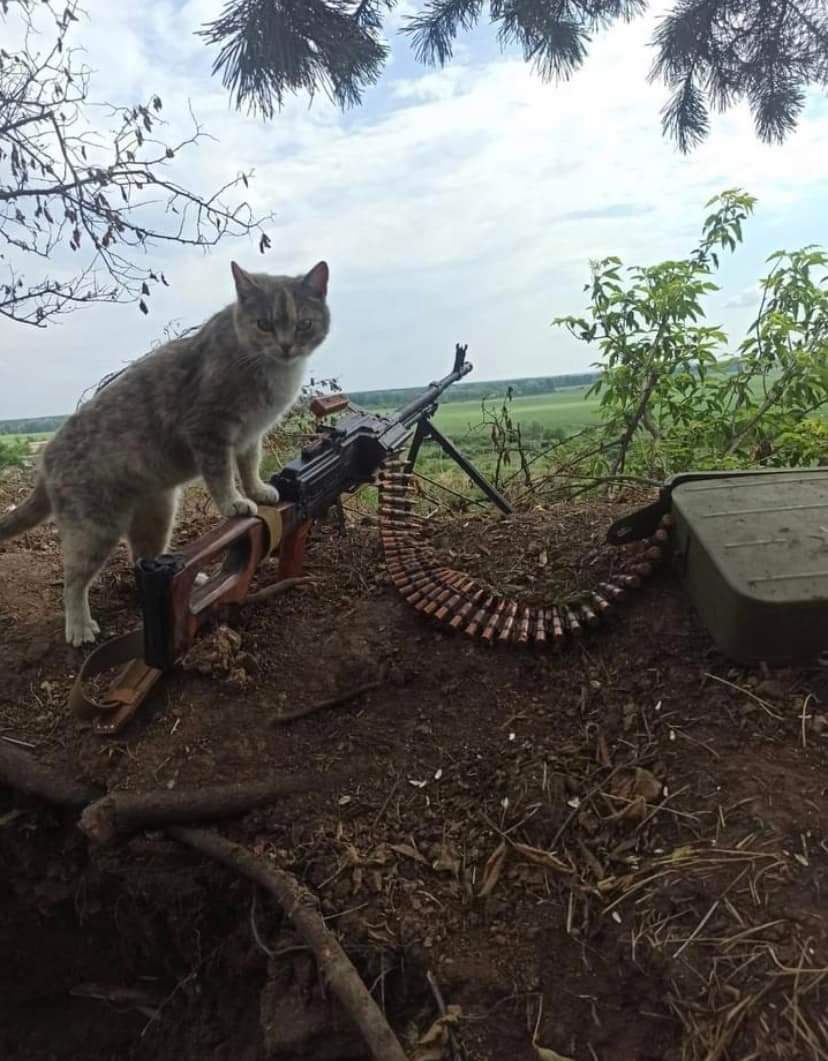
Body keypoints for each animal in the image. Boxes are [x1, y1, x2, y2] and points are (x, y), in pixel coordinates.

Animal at [0, 259, 331, 647]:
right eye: (264, 324)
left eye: (303, 323)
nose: (286, 345)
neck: (272, 371)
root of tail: (46, 459)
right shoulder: (209, 429)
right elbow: (221, 474)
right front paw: (234, 502)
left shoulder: (251, 435)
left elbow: (249, 465)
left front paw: (257, 490)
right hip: (93, 527)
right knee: (73, 581)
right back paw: (79, 625)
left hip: (157, 513)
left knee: (142, 559)